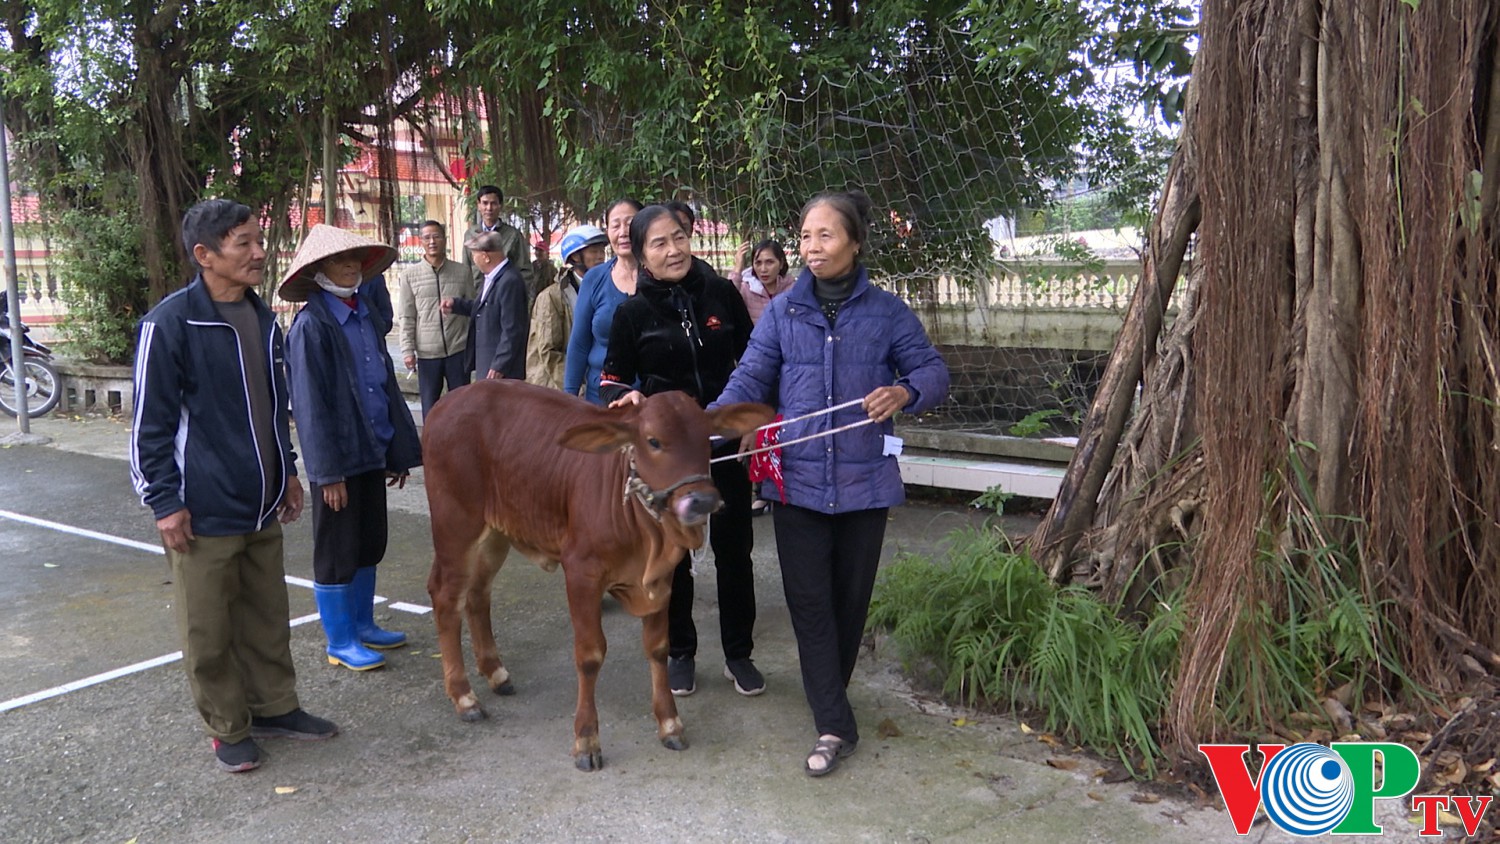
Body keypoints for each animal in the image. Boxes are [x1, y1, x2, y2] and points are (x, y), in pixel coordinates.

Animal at [423, 380, 774, 773]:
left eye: (707, 439)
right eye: (653, 441)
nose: (702, 500)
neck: (648, 538)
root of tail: (446, 403)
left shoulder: (662, 582)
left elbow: (658, 648)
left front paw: (670, 723)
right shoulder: (581, 572)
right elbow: (590, 655)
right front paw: (586, 739)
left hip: (496, 531)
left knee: (478, 594)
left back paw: (496, 672)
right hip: (456, 525)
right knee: (446, 597)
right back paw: (464, 697)